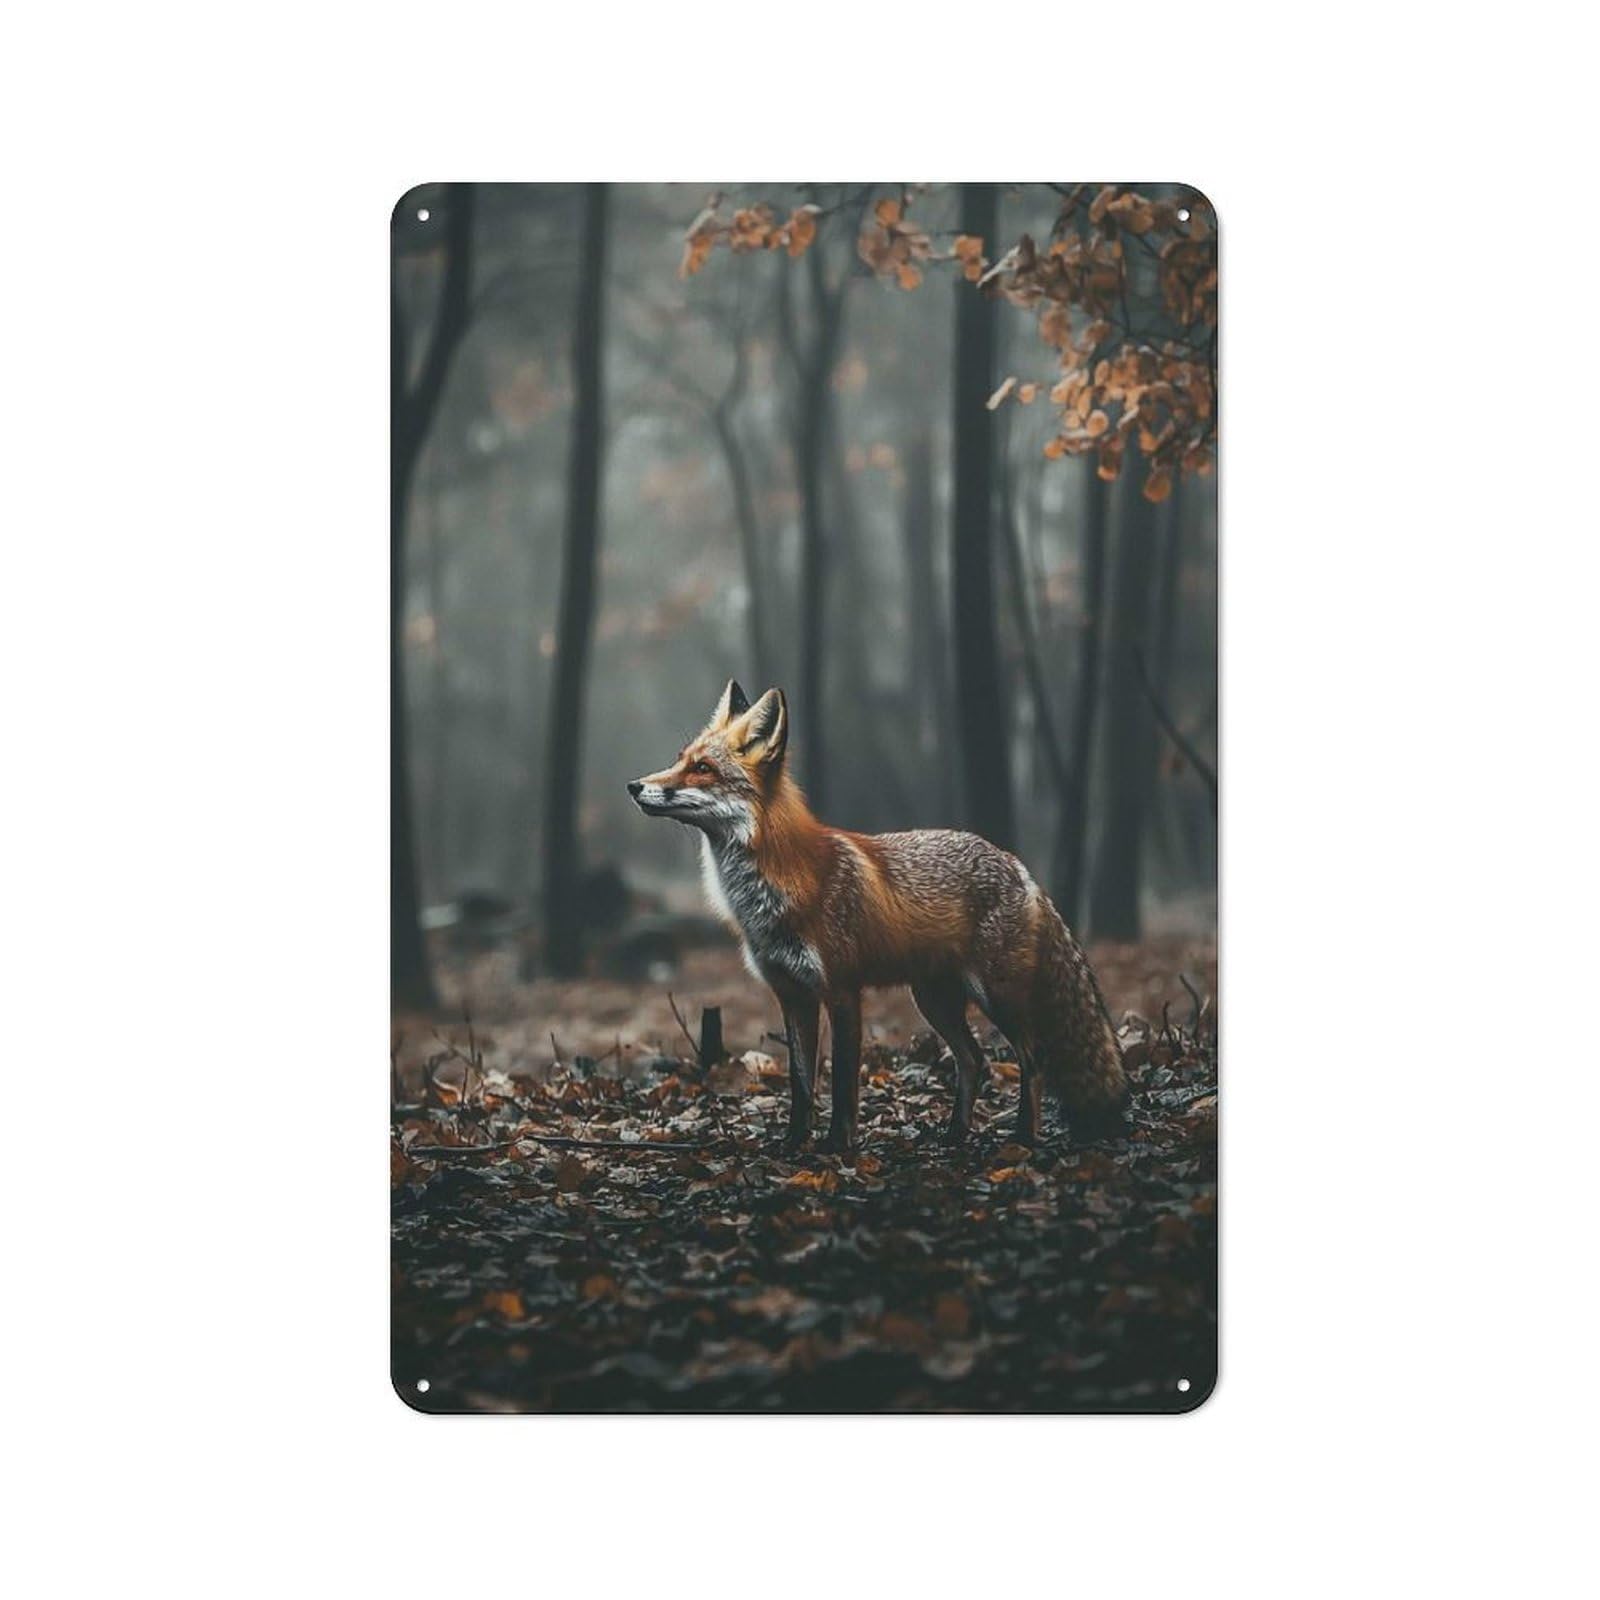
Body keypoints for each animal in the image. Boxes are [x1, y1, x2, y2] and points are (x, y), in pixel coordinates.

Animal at [628, 680, 1128, 1154]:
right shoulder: (792, 994)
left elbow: (843, 1083)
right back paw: (955, 1134)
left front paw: (837, 1145)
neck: (775, 888)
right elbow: (801, 1084)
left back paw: (1022, 1137)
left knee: (1032, 1056)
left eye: (703, 769)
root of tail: (1018, 865)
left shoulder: (842, 990)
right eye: (680, 760)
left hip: (996, 995)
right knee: (975, 1059)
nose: (634, 786)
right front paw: (793, 1145)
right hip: (933, 1000)